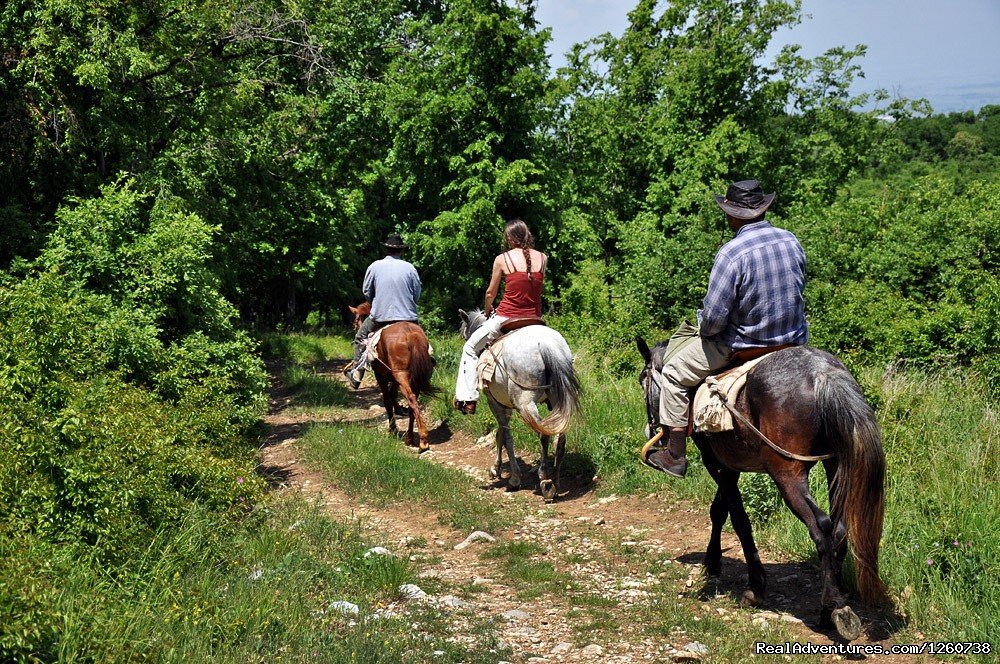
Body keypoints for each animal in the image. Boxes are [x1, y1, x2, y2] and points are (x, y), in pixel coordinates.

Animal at [350, 302, 436, 452]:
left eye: (356, 321)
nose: (355, 329)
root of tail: (410, 333)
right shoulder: (395, 379)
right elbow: (392, 394)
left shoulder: (381, 376)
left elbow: (387, 400)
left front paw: (392, 430)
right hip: (410, 378)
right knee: (413, 402)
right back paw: (410, 438)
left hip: (400, 375)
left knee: (412, 400)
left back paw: (423, 441)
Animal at [458, 308, 584, 500]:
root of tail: (546, 344)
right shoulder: (504, 406)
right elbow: (500, 434)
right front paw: (496, 468)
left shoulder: (494, 402)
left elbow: (506, 437)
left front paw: (513, 478)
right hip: (557, 400)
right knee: (560, 436)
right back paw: (555, 481)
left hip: (526, 403)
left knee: (544, 434)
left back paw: (545, 481)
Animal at [636, 340, 888, 640]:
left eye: (642, 379)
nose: (650, 429)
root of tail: (824, 374)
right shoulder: (728, 464)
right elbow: (719, 511)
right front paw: (712, 562)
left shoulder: (714, 461)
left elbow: (739, 519)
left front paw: (754, 588)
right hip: (835, 465)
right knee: (838, 530)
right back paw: (831, 607)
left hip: (787, 474)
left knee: (821, 526)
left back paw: (834, 608)